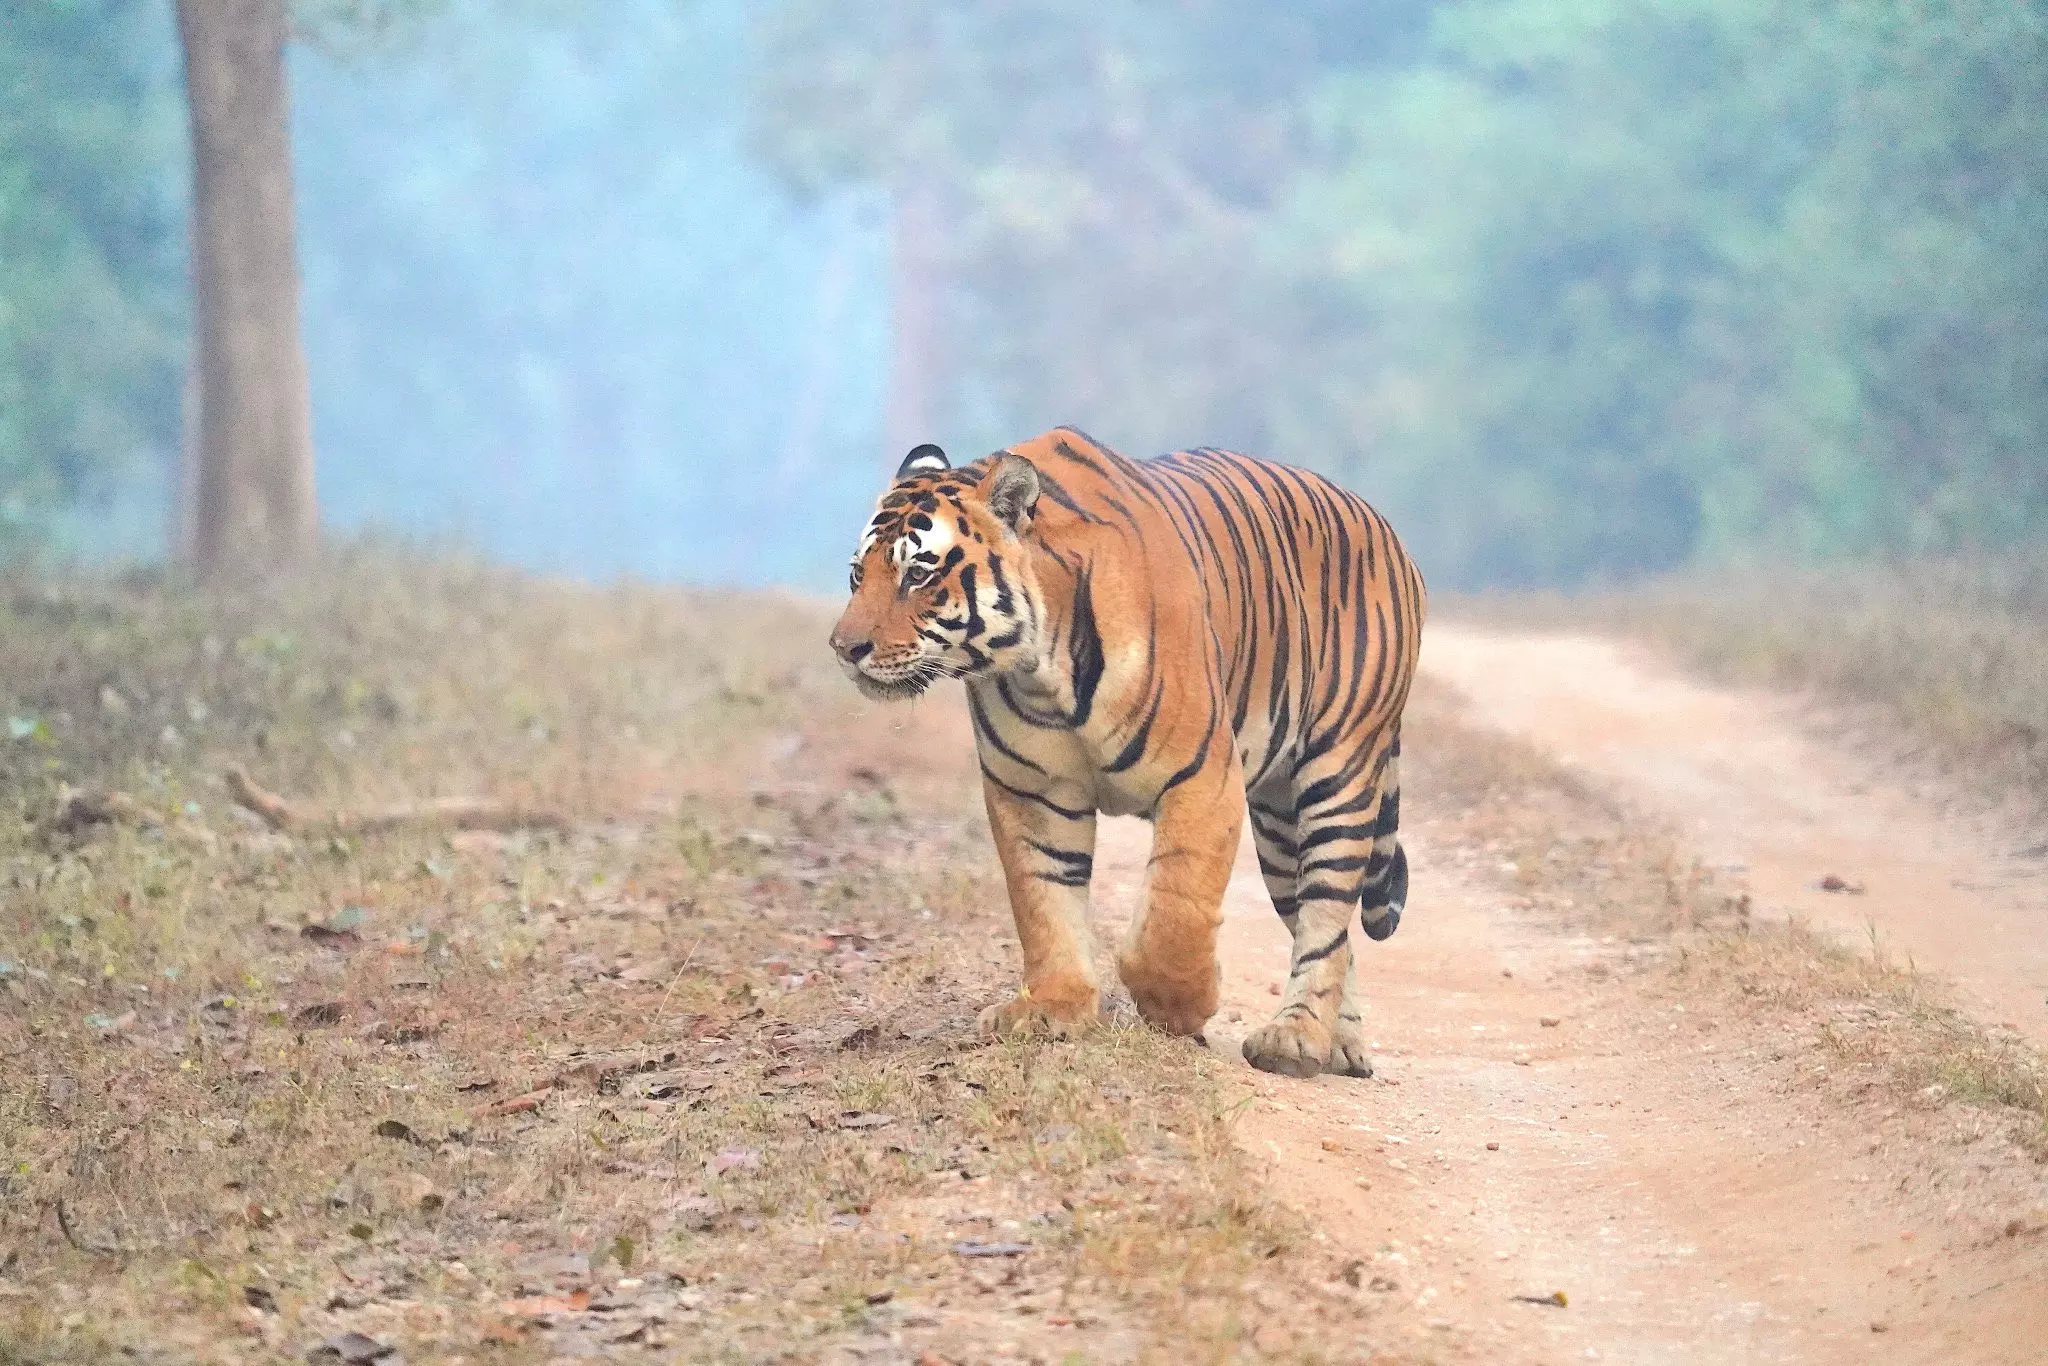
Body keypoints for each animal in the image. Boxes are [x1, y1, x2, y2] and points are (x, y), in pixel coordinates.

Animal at [828, 427, 1425, 1078]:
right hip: (1277, 819)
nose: (843, 647)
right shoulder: (1032, 793)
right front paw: (1052, 1008)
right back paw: (1340, 1042)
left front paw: (1179, 1006)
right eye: (858, 574)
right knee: (1333, 933)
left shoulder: (1203, 778)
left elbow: (1175, 910)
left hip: (1338, 773)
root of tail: (1388, 530)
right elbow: (1044, 902)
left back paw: (1297, 1038)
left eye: (918, 574)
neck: (1040, 670)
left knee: (1327, 912)